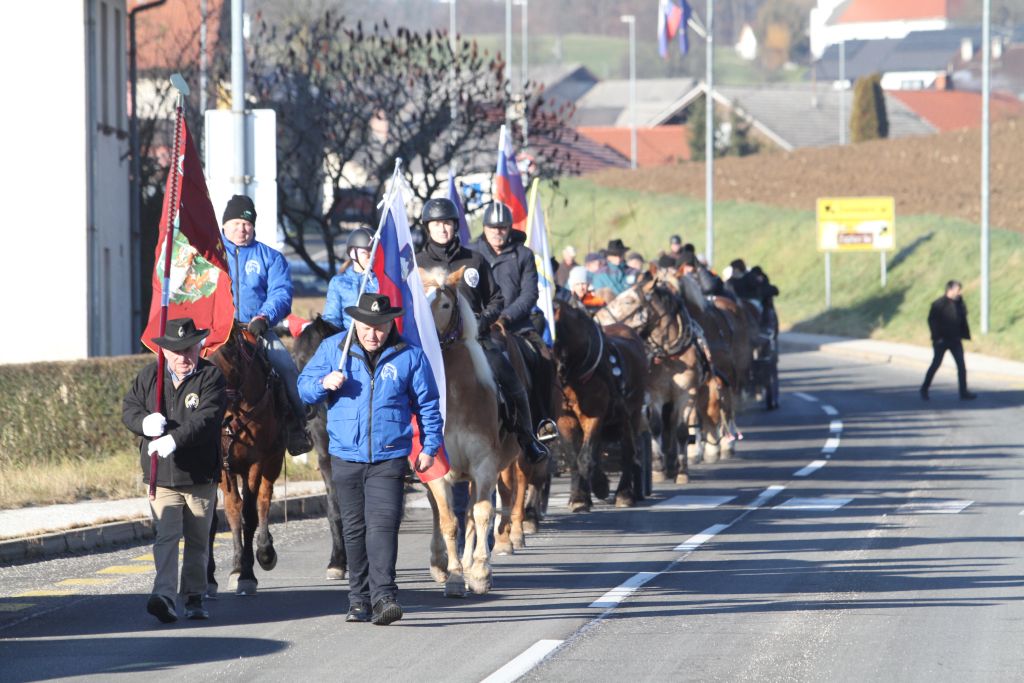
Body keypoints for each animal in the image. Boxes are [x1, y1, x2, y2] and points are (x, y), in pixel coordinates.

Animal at [207, 323, 288, 593]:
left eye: (230, 353)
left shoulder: (256, 462)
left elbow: (250, 514)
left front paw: (247, 574)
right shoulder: (224, 468)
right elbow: (232, 512)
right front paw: (235, 570)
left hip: (272, 461)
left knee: (264, 499)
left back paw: (265, 551)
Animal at [419, 270, 524, 593]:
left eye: (444, 304)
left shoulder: (485, 465)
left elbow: (482, 514)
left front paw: (478, 572)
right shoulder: (437, 470)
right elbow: (447, 520)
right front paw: (453, 575)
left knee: (472, 512)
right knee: (441, 511)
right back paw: (440, 563)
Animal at [552, 299, 647, 511]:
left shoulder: (595, 414)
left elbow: (586, 458)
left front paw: (600, 486)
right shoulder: (565, 419)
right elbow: (575, 457)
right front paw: (579, 497)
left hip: (632, 415)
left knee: (629, 452)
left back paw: (625, 494)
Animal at [598, 268, 708, 485]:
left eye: (629, 301)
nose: (596, 316)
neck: (670, 356)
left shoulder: (687, 394)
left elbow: (681, 431)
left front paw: (682, 472)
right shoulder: (655, 394)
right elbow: (656, 427)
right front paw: (658, 468)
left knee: (673, 427)